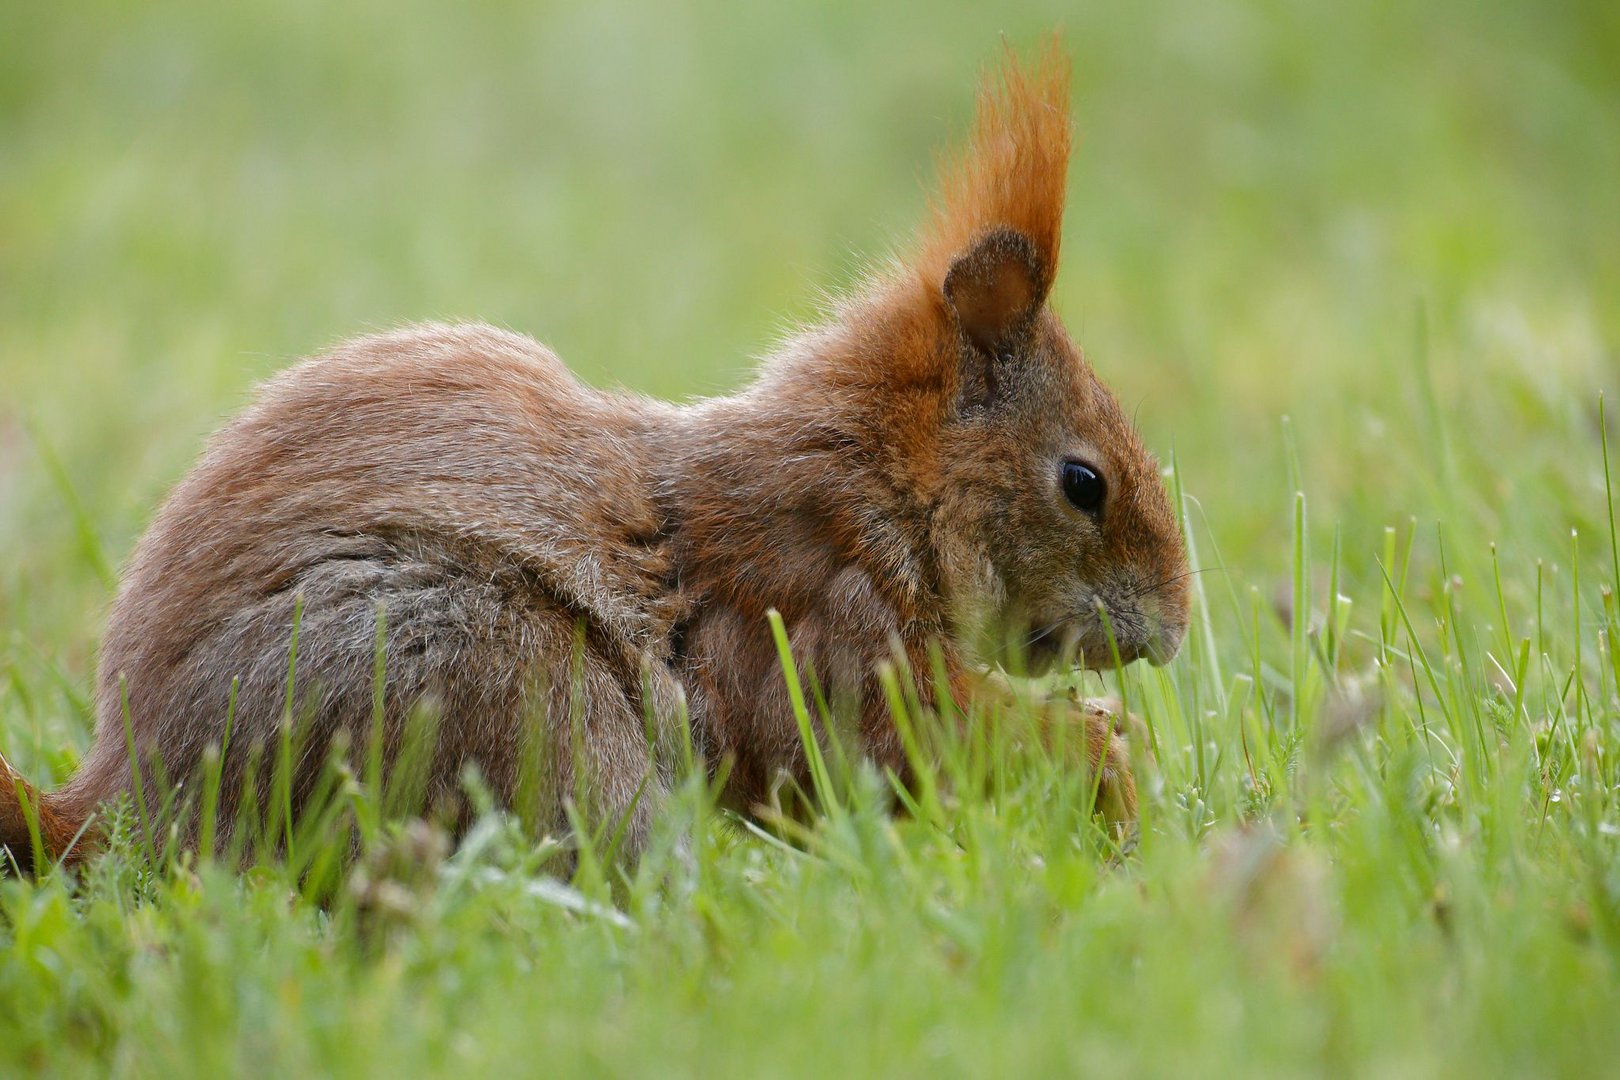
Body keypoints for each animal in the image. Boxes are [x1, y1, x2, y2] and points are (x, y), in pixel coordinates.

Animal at [0, 40, 1192, 880]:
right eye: (1084, 483)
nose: (1175, 631)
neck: (869, 482)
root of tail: (124, 798)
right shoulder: (803, 614)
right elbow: (869, 746)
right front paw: (1106, 768)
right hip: (493, 677)